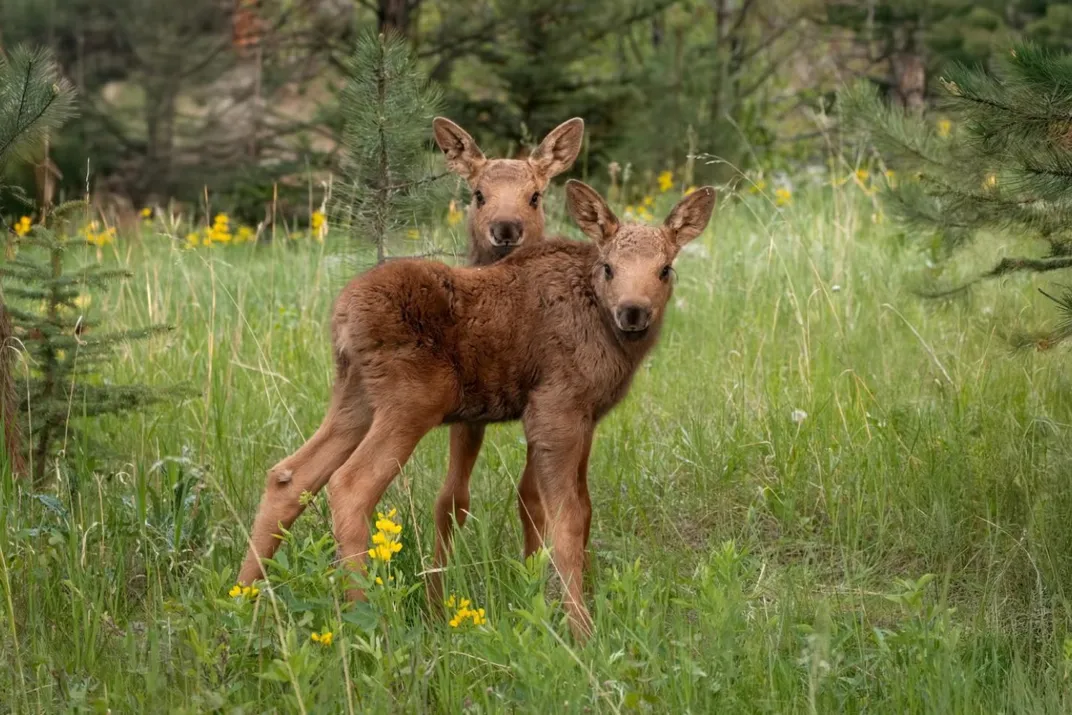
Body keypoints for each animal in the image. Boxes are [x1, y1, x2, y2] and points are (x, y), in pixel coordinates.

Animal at [237, 179, 717, 640]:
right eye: (609, 267)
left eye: (665, 269)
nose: (633, 312)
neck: (607, 332)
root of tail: (341, 314)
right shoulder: (556, 407)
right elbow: (567, 520)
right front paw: (581, 631)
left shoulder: (585, 417)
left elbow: (568, 507)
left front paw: (547, 601)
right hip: (412, 400)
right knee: (350, 485)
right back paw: (368, 622)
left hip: (355, 398)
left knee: (289, 476)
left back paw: (241, 602)